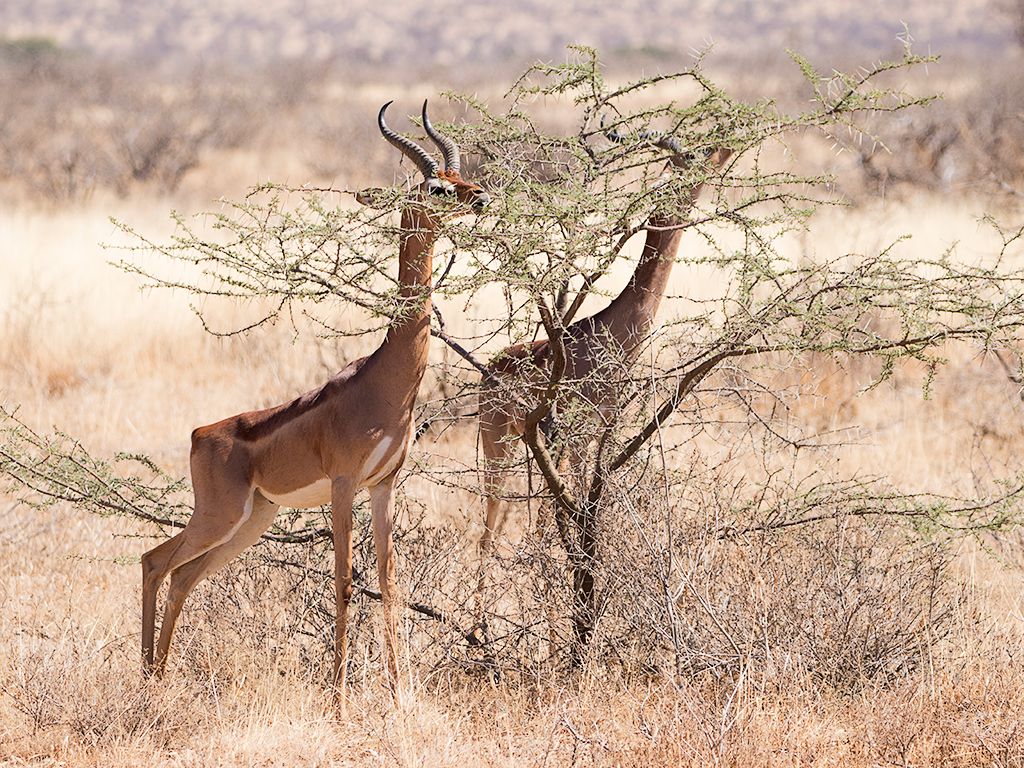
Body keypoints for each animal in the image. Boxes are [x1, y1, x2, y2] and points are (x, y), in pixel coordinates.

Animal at [141, 101, 490, 699]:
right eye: (435, 186)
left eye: (458, 176)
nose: (481, 197)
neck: (386, 380)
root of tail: (201, 434)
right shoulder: (345, 486)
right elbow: (346, 583)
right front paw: (340, 702)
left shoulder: (384, 486)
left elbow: (389, 583)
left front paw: (401, 697)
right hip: (220, 515)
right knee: (154, 561)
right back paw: (147, 680)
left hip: (252, 519)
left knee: (181, 573)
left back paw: (156, 677)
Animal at [477, 130, 731, 561]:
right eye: (687, 163)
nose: (721, 155)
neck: (615, 332)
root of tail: (489, 370)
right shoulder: (579, 435)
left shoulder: (601, 429)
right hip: (499, 445)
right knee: (487, 528)